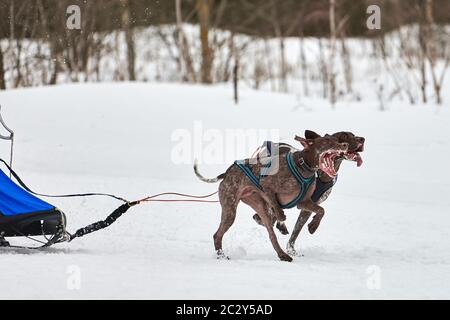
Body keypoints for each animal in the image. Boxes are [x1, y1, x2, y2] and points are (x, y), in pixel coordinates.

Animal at [193, 134, 348, 262]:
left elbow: (321, 210)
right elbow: (276, 206)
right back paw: (221, 256)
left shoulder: (304, 202)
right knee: (217, 235)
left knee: (271, 234)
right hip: (230, 210)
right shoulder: (266, 186)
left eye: (336, 140)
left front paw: (313, 226)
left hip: (259, 207)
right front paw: (281, 216)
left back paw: (282, 255)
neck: (303, 165)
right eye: (326, 141)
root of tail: (226, 173)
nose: (345, 145)